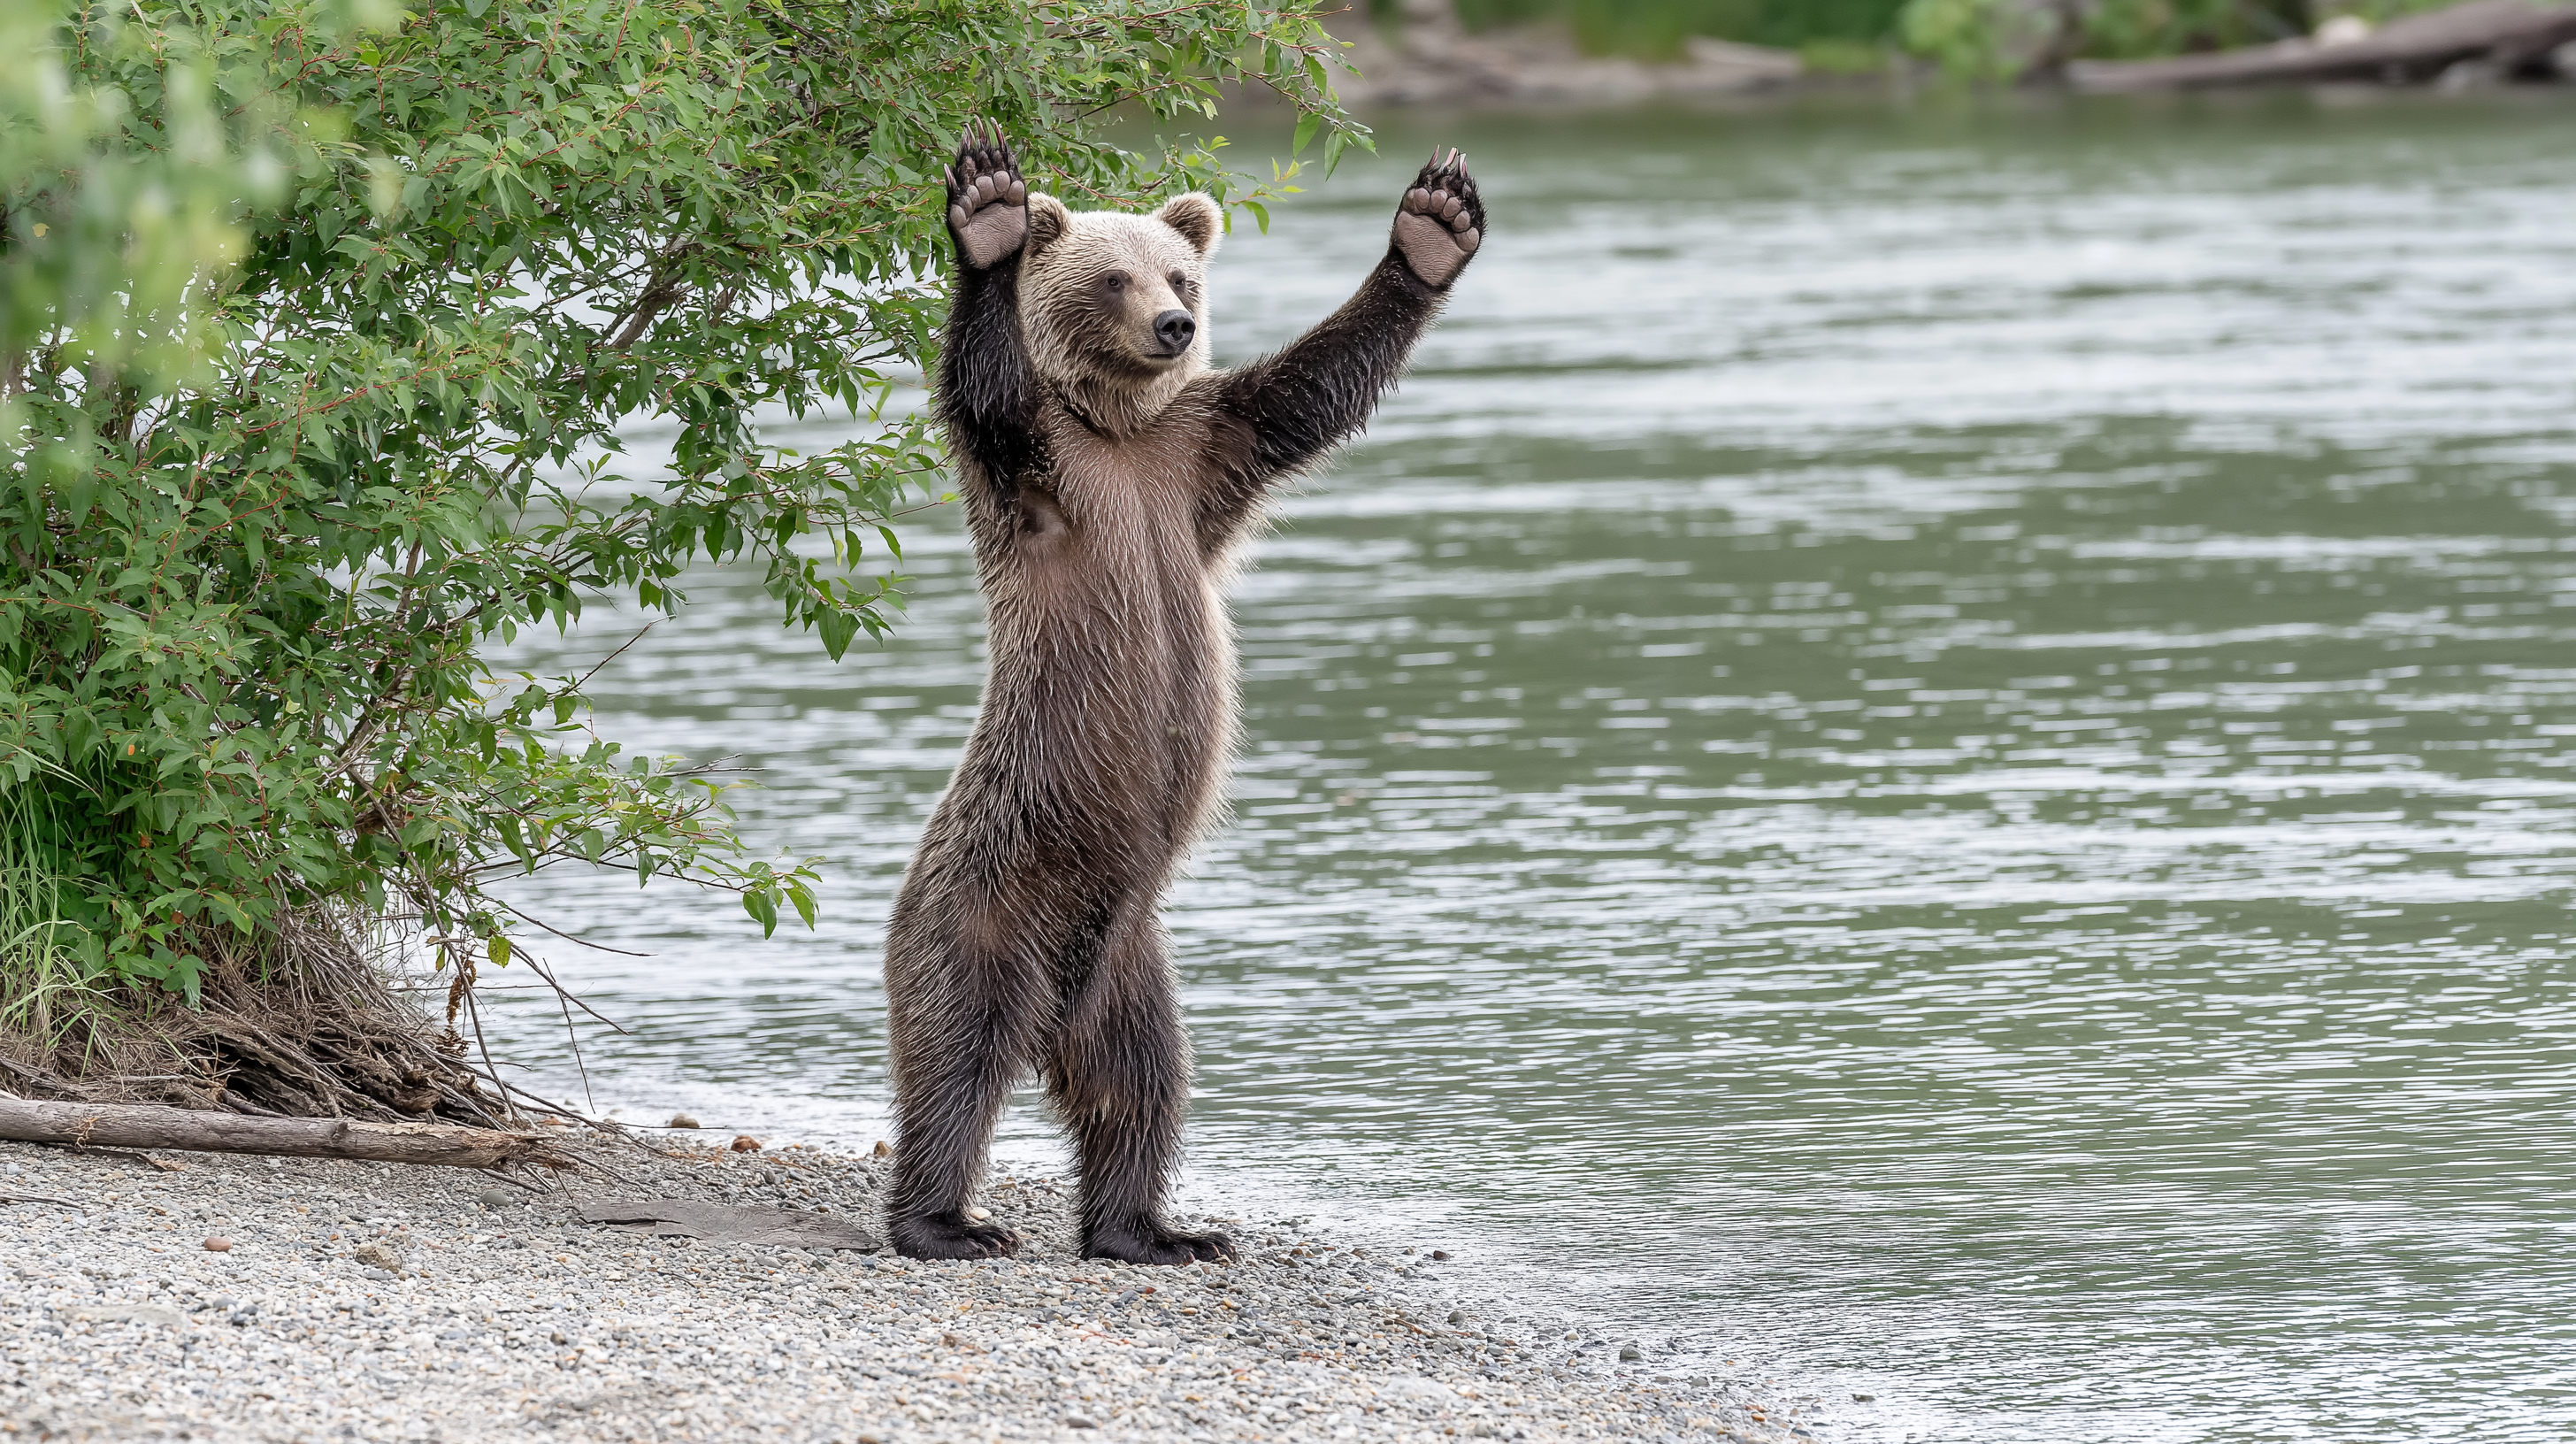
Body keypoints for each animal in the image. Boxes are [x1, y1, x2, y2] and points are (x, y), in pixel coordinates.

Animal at [882, 122, 1485, 1264]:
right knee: (955, 1054)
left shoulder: (1200, 454)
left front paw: (1433, 228)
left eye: (1181, 273)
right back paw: (944, 1222)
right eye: (1112, 275)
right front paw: (986, 216)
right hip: (988, 889)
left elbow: (1308, 390)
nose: (1173, 324)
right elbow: (985, 386)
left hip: (1133, 964)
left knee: (1142, 1083)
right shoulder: (1039, 472)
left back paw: (1150, 1229)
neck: (1113, 426)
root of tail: (1057, 1011)